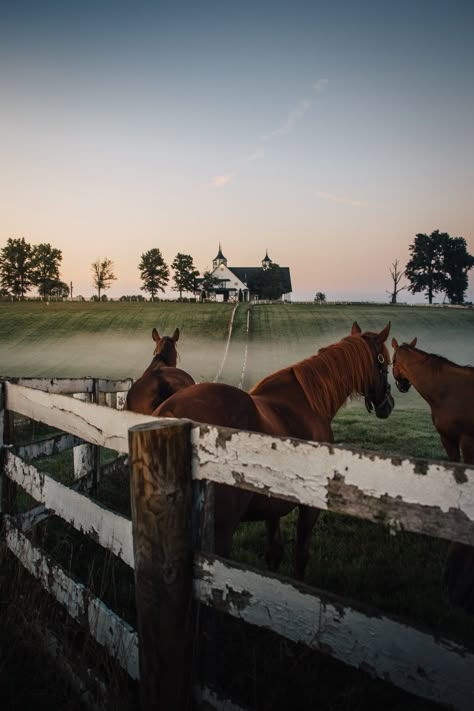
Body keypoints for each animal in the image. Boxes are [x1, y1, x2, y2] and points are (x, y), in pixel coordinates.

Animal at [155, 322, 392, 580]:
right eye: (386, 364)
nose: (388, 404)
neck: (306, 403)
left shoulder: (272, 504)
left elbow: (274, 553)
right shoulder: (310, 505)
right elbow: (300, 555)